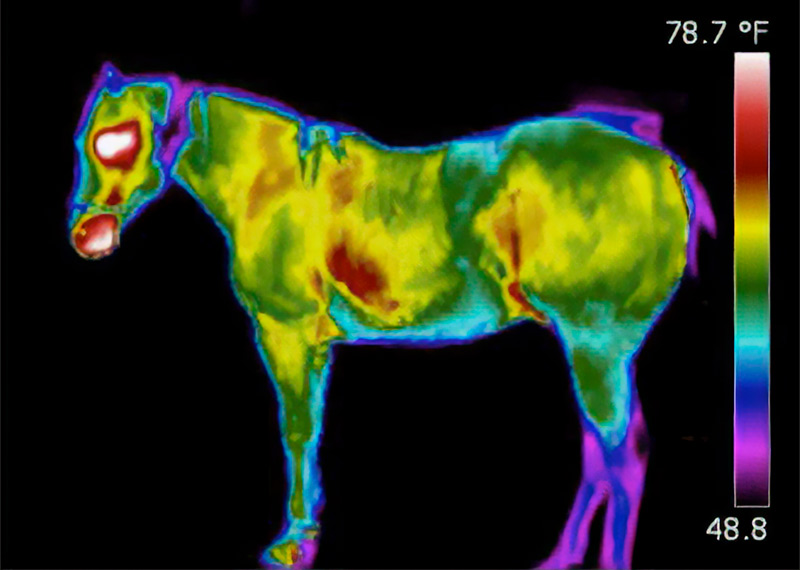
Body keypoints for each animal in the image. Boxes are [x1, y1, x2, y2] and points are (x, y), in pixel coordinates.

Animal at [67, 63, 715, 569]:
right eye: (85, 141)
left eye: (122, 140)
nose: (86, 236)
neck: (274, 184)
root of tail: (666, 166)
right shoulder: (314, 345)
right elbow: (310, 426)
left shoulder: (285, 333)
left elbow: (296, 428)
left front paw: (293, 543)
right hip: (590, 348)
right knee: (600, 450)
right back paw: (560, 557)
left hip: (596, 343)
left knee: (622, 455)